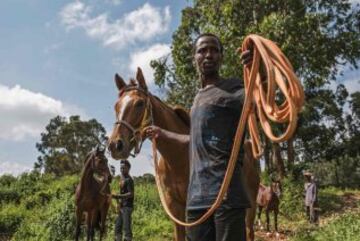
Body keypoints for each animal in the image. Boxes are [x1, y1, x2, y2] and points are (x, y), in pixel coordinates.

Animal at [107, 68, 258, 241]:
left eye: (139, 103)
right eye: (116, 106)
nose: (115, 145)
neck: (177, 158)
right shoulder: (174, 207)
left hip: (251, 204)